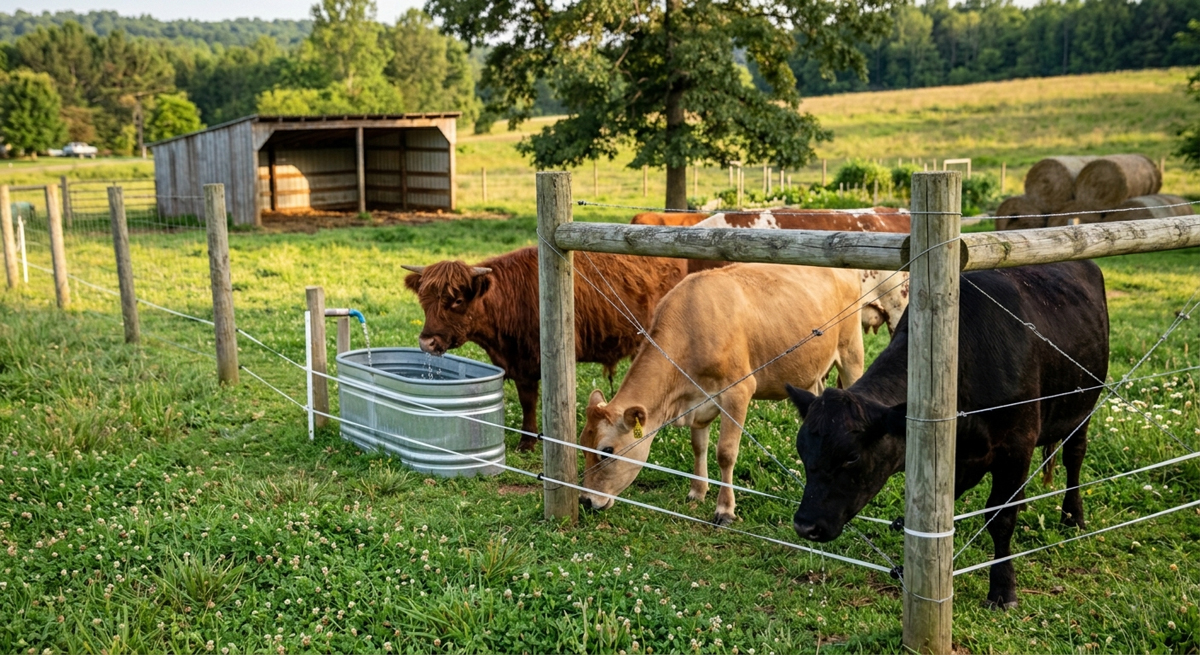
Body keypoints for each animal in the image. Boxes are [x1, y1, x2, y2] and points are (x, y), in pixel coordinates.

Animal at [403, 247, 685, 451]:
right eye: (424, 300)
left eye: (458, 300)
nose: (426, 342)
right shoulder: (518, 363)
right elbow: (526, 400)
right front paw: (528, 439)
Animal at [579, 263, 866, 526]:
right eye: (582, 444)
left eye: (607, 451)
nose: (585, 501)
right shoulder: (698, 401)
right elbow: (698, 445)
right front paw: (697, 491)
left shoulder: (738, 391)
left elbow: (726, 453)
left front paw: (725, 509)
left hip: (851, 352)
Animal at [785, 261, 1109, 609]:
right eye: (802, 451)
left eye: (851, 456)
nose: (805, 525)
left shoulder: (1017, 444)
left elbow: (1000, 518)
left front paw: (1003, 588)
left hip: (1083, 407)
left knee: (1074, 456)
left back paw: (1073, 517)